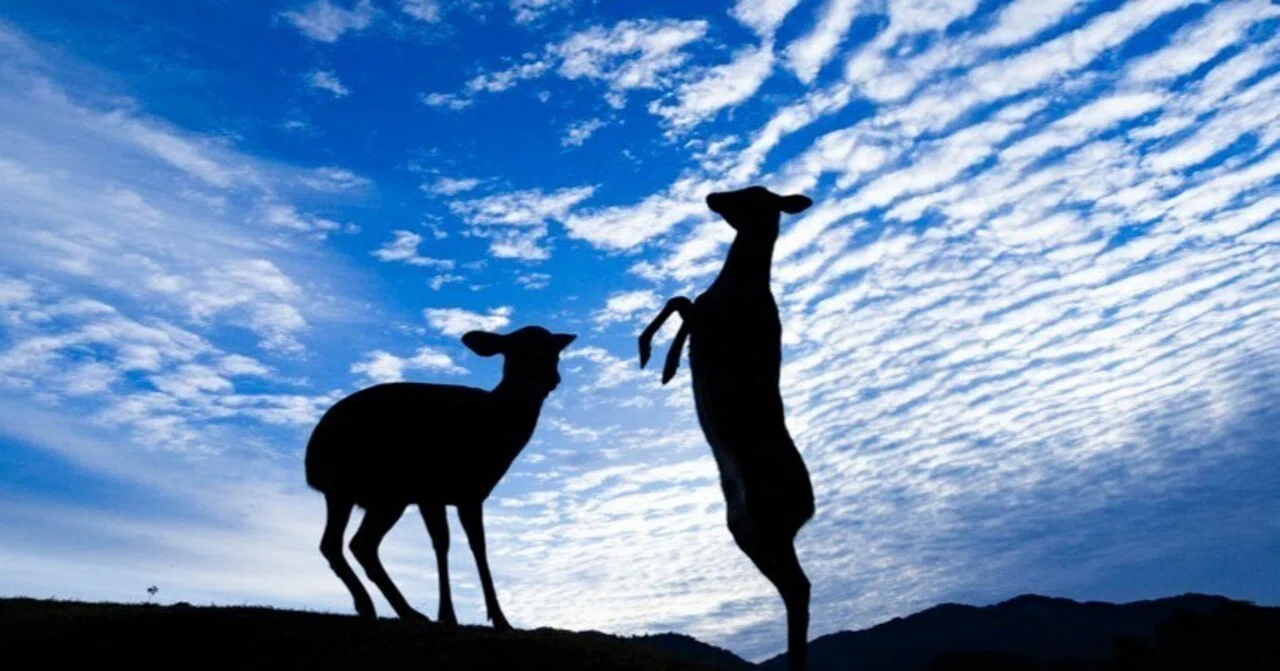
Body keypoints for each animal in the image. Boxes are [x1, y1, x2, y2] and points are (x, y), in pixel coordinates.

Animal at [305, 325, 576, 631]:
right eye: (518, 351)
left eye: (555, 352)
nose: (551, 378)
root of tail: (311, 463)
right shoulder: (441, 491)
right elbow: (450, 544)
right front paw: (454, 615)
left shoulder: (465, 493)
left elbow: (470, 545)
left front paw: (492, 617)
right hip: (376, 492)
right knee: (350, 543)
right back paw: (392, 609)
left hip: (358, 495)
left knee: (349, 544)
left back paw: (389, 609)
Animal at [638, 185, 816, 671]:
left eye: (753, 195)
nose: (712, 195)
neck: (737, 287)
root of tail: (809, 509)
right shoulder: (708, 315)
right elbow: (684, 301)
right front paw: (666, 363)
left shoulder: (718, 328)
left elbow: (682, 301)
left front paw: (657, 358)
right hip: (746, 530)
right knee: (794, 588)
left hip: (768, 517)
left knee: (799, 587)